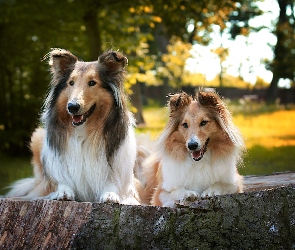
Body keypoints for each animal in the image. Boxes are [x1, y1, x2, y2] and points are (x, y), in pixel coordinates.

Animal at [6, 48, 141, 205]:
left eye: (92, 83)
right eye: (71, 83)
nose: (72, 106)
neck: (83, 131)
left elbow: (113, 184)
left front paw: (111, 194)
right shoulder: (51, 176)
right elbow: (59, 181)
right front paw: (63, 191)